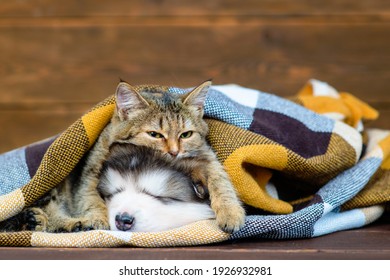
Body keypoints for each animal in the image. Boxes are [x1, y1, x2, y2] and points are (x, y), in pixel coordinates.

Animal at [0, 80, 245, 233]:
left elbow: (221, 179)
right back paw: (53, 222)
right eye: (155, 134)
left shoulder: (206, 156)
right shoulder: (91, 169)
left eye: (186, 134)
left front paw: (230, 212)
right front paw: (98, 219)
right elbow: (89, 195)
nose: (174, 152)